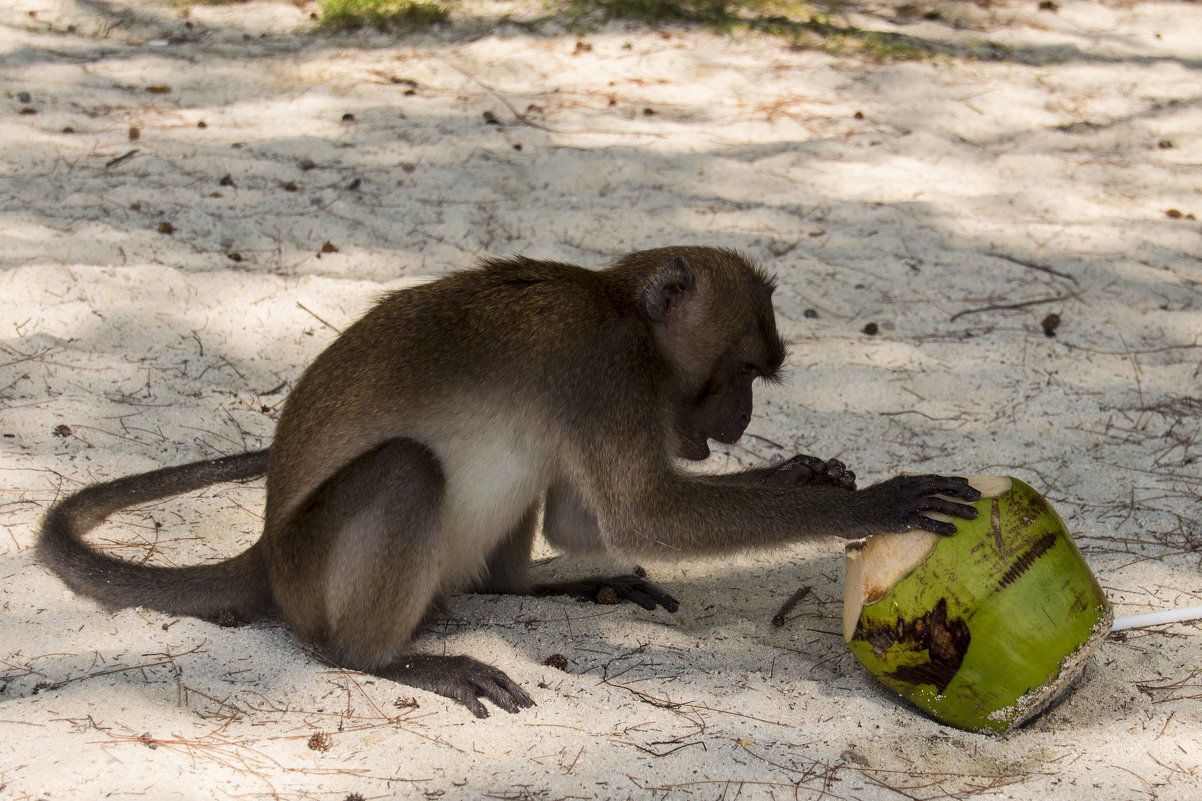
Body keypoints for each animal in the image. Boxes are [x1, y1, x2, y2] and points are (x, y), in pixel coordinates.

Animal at [37, 246, 980, 712]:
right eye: (740, 373)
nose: (743, 420)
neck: (619, 306)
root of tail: (265, 548)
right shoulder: (603, 372)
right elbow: (643, 514)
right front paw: (872, 500)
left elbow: (585, 522)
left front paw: (806, 473)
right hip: (311, 569)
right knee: (406, 470)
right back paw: (381, 658)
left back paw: (534, 587)